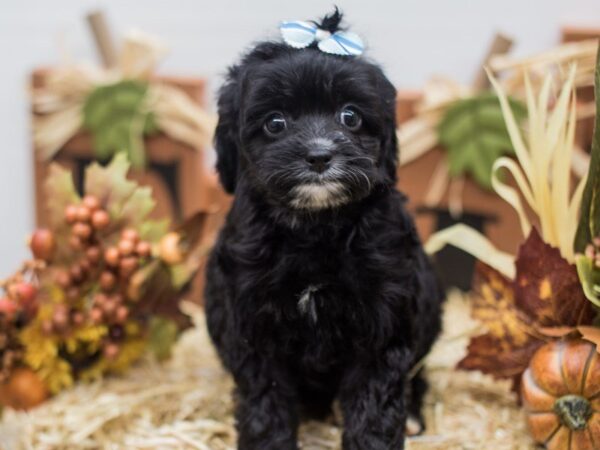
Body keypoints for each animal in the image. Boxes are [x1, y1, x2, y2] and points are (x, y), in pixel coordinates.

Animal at [204, 10, 442, 450]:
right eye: (275, 122)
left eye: (350, 116)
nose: (318, 155)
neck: (314, 229)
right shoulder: (252, 329)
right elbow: (265, 404)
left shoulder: (384, 325)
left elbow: (375, 406)